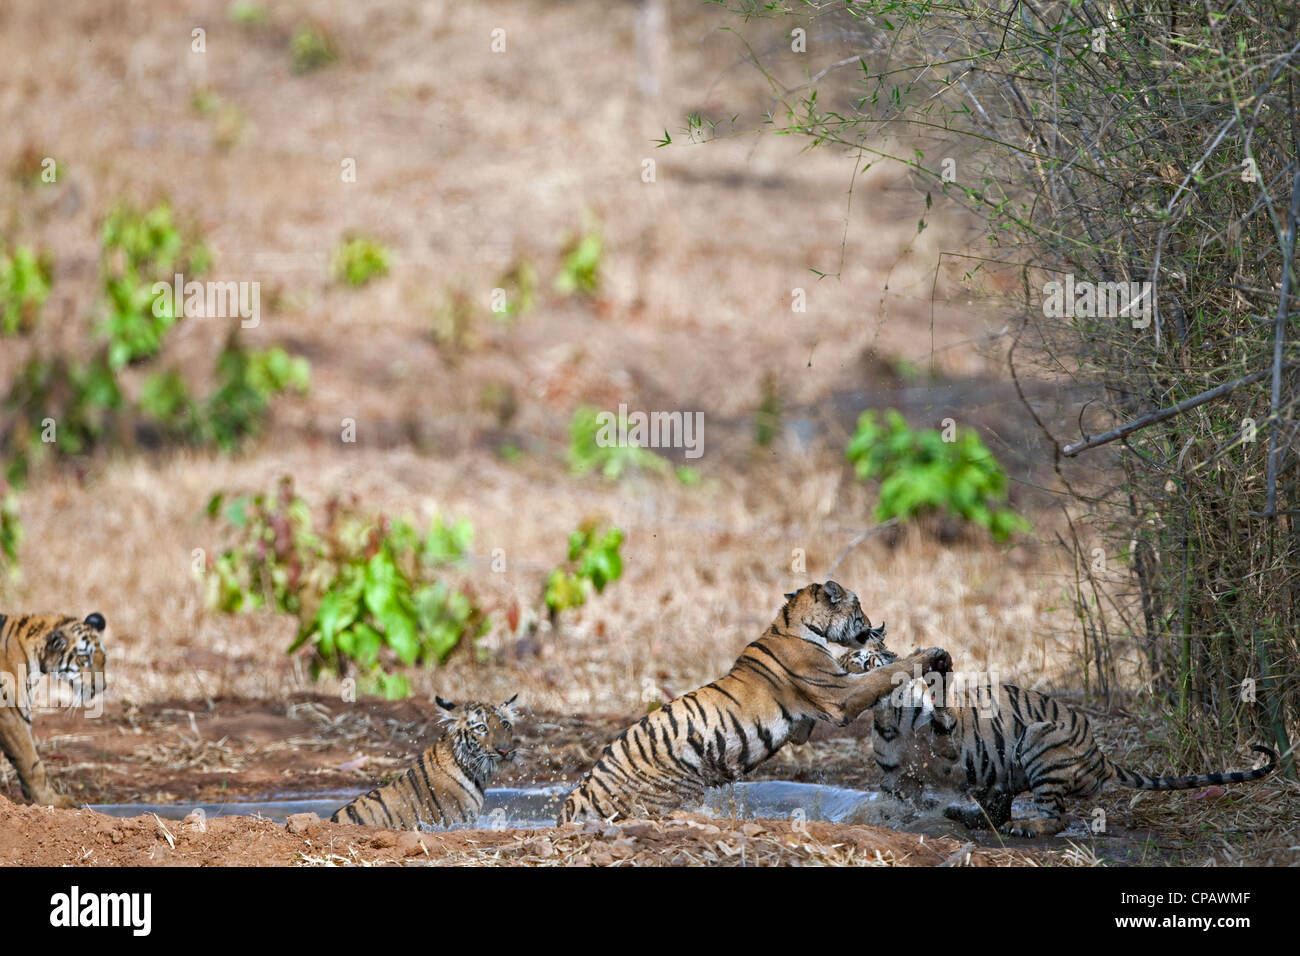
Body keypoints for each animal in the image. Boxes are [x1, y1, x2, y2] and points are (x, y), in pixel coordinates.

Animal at [0, 613, 107, 806]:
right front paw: (52, 801)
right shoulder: (11, 714)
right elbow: (30, 762)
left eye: (104, 659)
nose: (102, 687)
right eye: (84, 659)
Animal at [553, 580, 951, 827]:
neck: (793, 621)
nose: (873, 625)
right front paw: (926, 655)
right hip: (667, 797)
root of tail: (580, 794)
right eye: (860, 607)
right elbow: (881, 677)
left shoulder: (805, 723)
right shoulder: (838, 697)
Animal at [842, 650, 1279, 837]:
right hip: (1001, 775)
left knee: (1058, 817)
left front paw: (939, 665)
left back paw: (1025, 827)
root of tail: (1100, 756)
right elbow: (899, 803)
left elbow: (943, 703)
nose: (849, 671)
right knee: (998, 810)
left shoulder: (947, 742)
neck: (889, 718)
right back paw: (963, 815)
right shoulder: (898, 782)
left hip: (1041, 743)